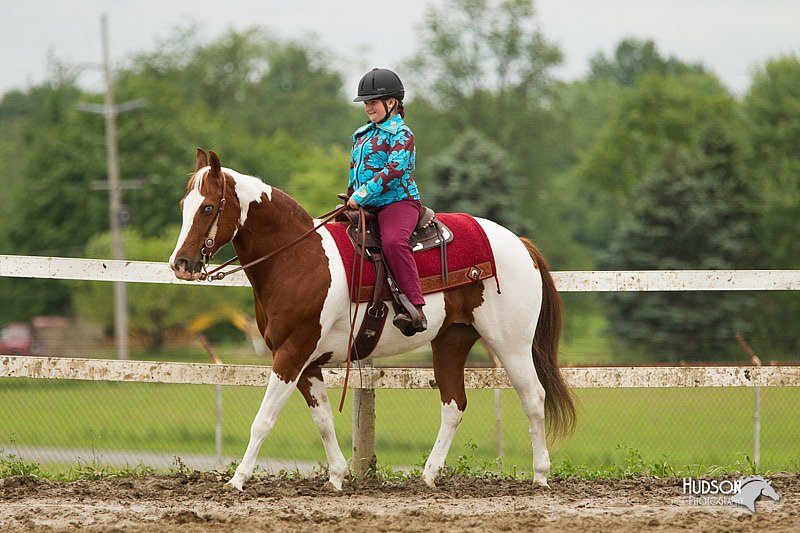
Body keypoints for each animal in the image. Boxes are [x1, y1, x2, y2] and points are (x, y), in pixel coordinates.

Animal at [169, 149, 576, 490]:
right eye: (184, 205)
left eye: (208, 208)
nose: (180, 264)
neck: (298, 257)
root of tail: (521, 244)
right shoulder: (307, 362)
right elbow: (323, 420)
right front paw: (336, 477)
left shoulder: (290, 354)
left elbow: (263, 420)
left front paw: (237, 480)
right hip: (452, 340)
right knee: (453, 405)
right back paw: (428, 476)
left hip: (512, 345)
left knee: (533, 397)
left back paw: (540, 476)